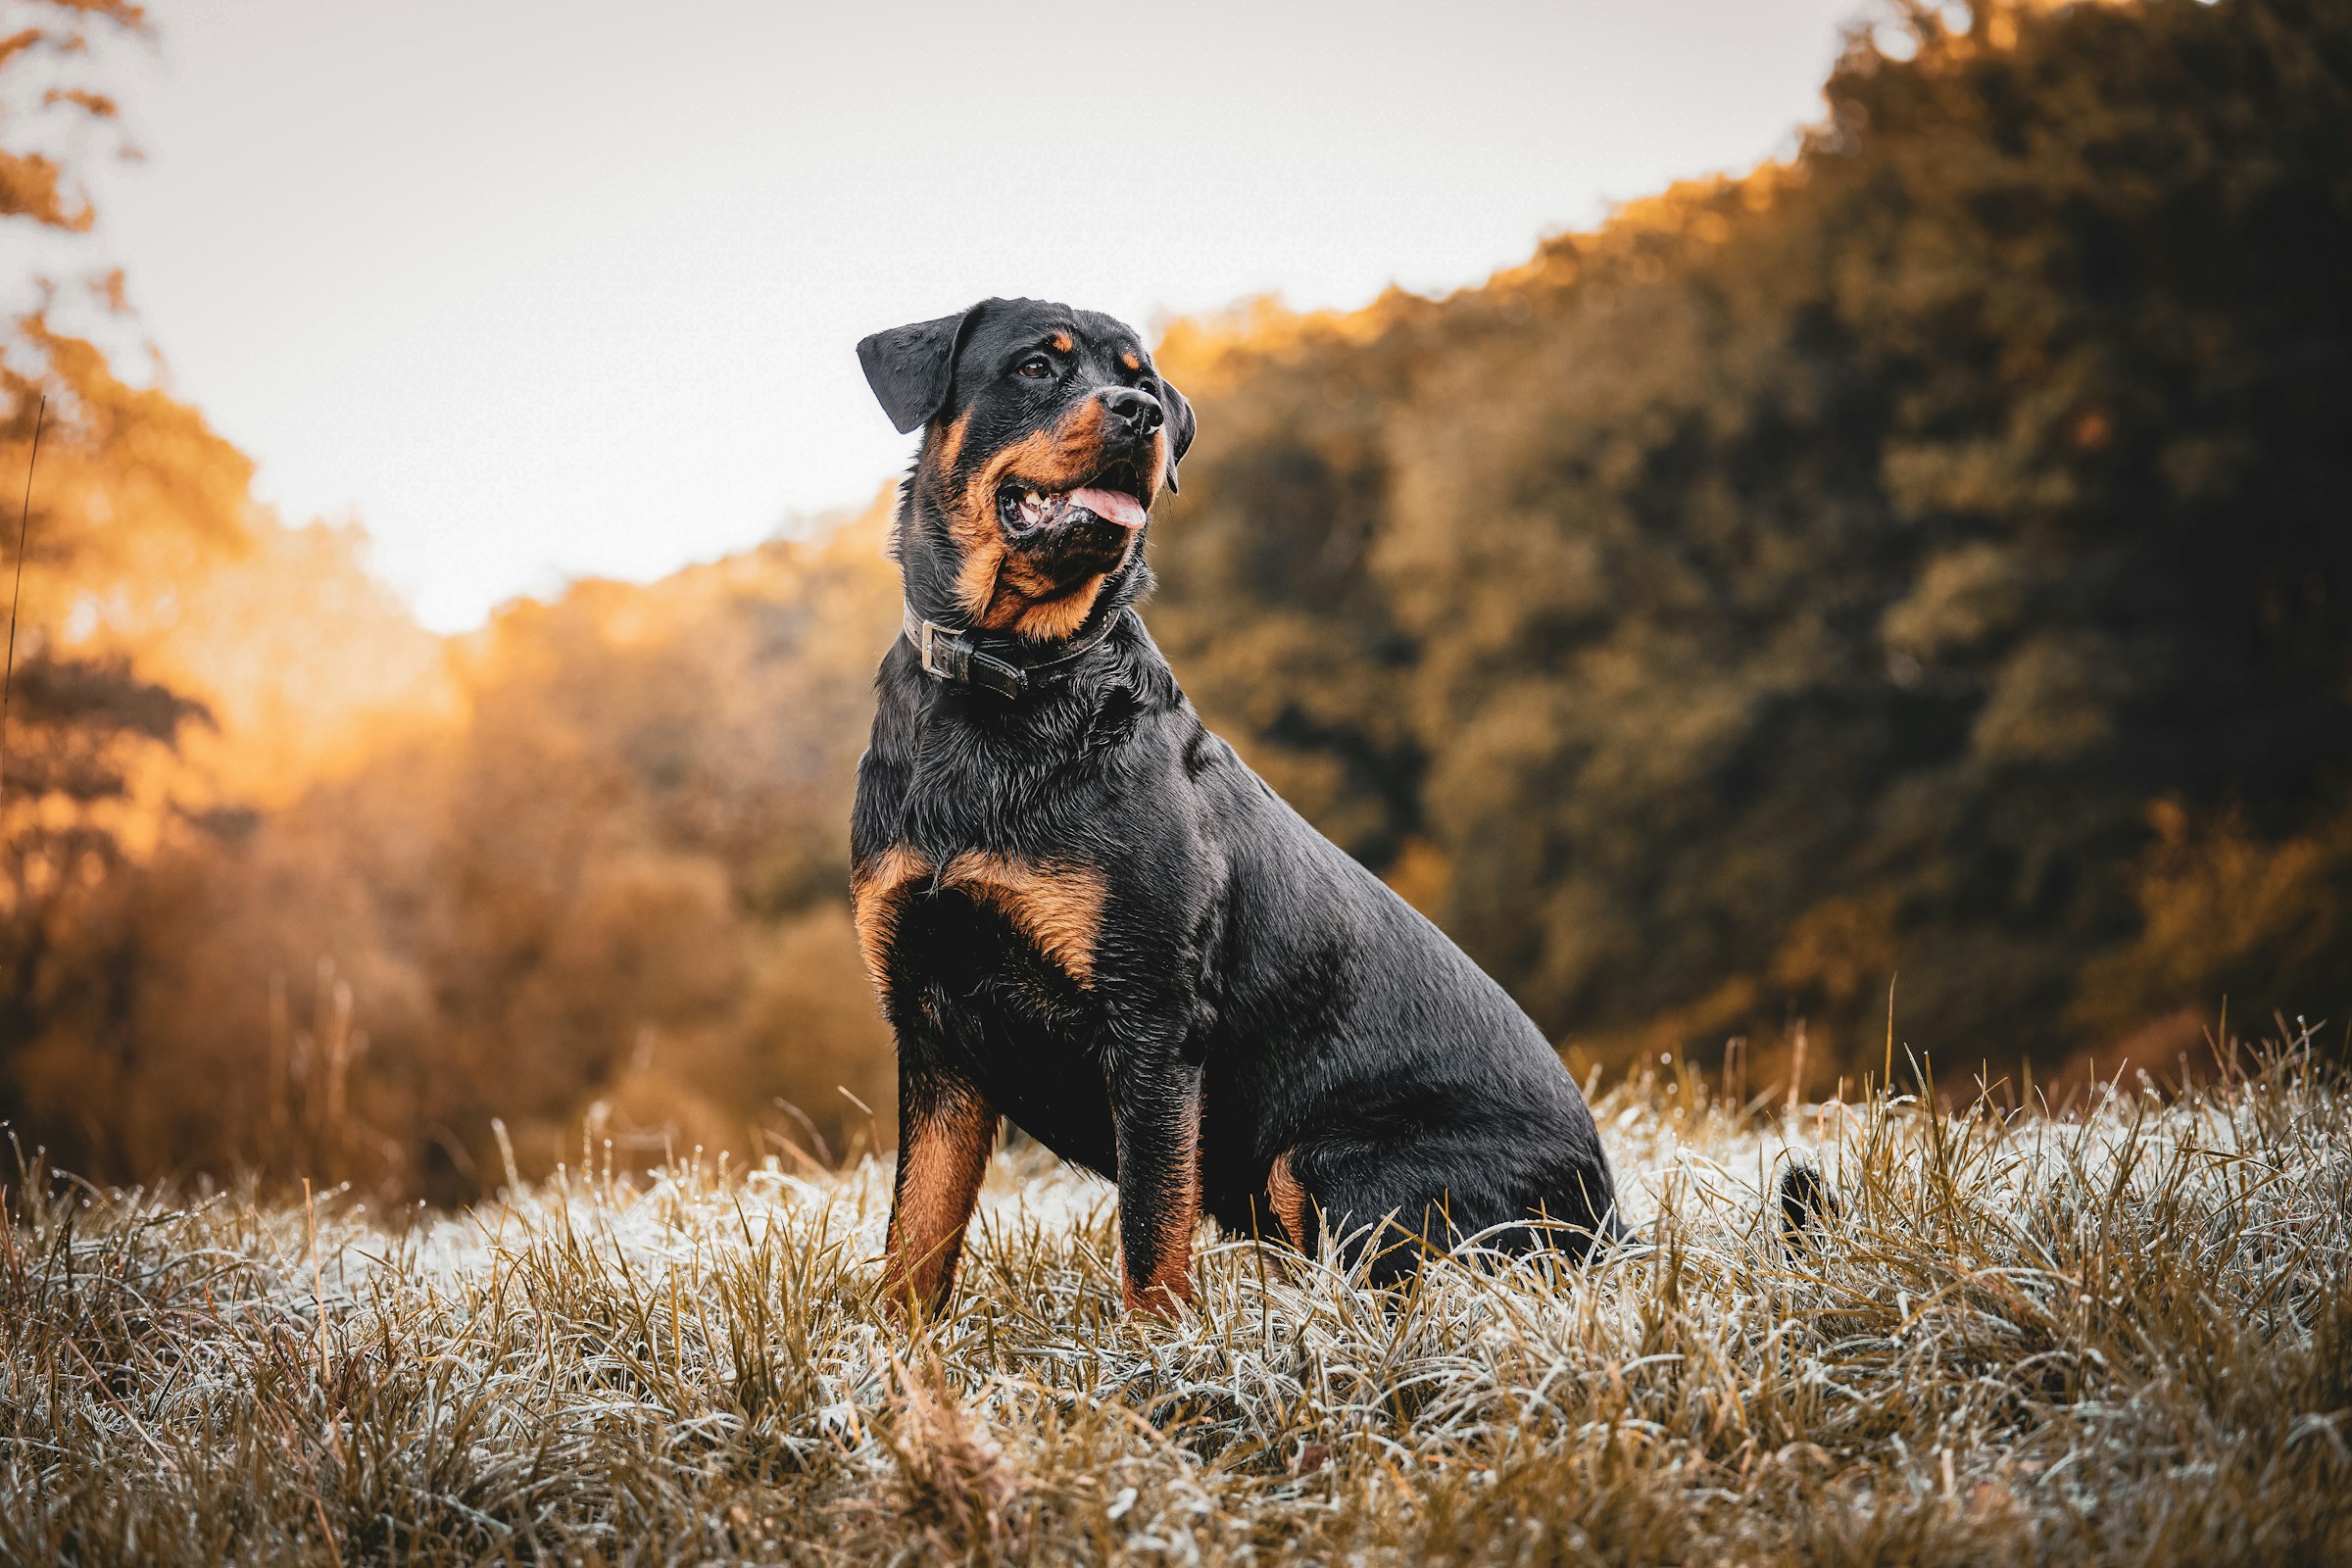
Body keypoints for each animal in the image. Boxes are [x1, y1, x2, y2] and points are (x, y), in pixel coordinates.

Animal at [856, 297, 1627, 1325]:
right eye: (1035, 367)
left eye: (1140, 377)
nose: (1141, 413)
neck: (1011, 680)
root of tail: (1613, 1221)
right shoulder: (933, 1029)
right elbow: (916, 1240)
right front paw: (896, 1357)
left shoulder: (1151, 1022)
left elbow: (1152, 1241)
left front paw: (1156, 1360)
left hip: (1328, 1163)